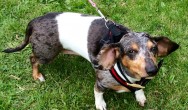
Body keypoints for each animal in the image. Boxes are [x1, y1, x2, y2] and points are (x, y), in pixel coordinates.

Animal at [3, 12, 179, 109]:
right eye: (130, 51)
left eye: (154, 48)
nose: (153, 70)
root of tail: (35, 20)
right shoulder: (101, 82)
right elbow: (98, 93)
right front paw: (100, 104)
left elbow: (139, 89)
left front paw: (140, 96)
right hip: (46, 53)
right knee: (32, 58)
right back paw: (37, 75)